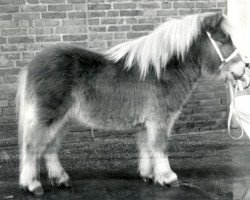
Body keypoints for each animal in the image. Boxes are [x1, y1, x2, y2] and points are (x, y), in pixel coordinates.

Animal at [17, 12, 248, 194]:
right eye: (222, 41)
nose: (243, 68)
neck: (162, 71)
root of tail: (31, 65)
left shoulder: (147, 123)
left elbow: (146, 147)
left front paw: (149, 176)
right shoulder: (160, 120)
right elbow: (160, 147)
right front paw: (168, 177)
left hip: (62, 120)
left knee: (49, 147)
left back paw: (61, 179)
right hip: (49, 117)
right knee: (32, 145)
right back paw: (32, 185)